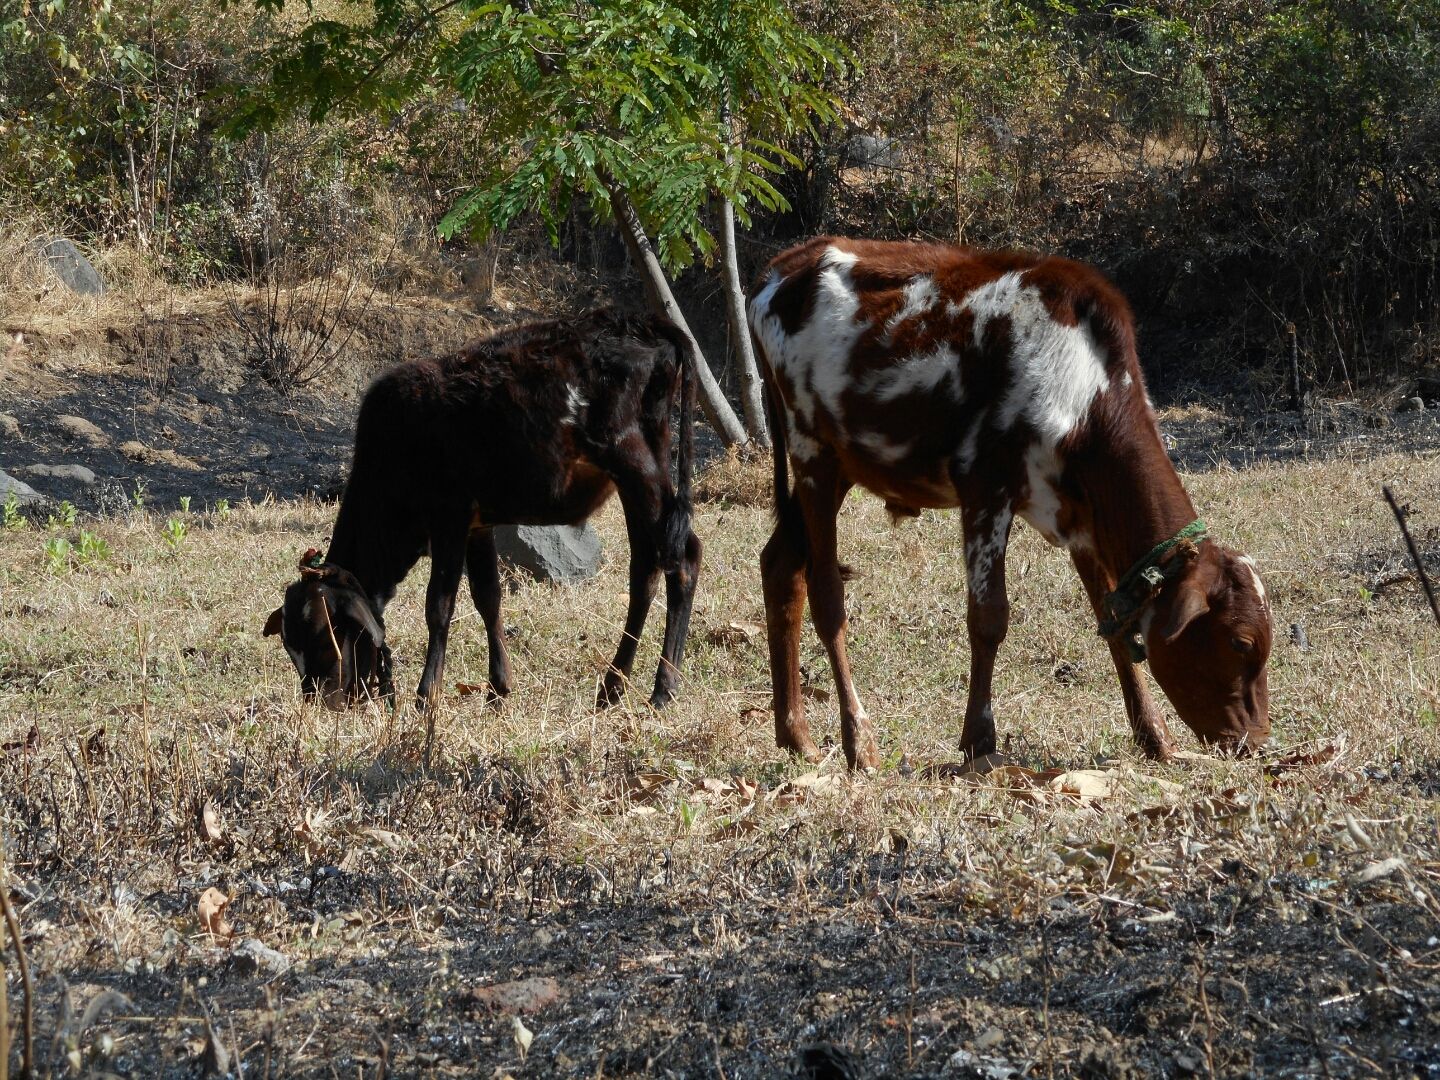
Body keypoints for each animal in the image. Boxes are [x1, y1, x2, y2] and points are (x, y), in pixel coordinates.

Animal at [263, 308, 701, 723]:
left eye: (323, 637)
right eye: (289, 646)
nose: (321, 702)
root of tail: (641, 322)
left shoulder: (449, 519)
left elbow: (438, 606)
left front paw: (427, 696)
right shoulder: (477, 525)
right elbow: (488, 599)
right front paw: (497, 691)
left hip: (634, 463)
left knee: (683, 558)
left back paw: (662, 689)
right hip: (634, 475)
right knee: (645, 569)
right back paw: (612, 688)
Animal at [748, 237, 1272, 770]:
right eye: (1239, 642)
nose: (1255, 742)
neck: (1085, 395)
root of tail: (789, 262)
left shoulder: (1079, 513)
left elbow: (1113, 619)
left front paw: (1154, 735)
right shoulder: (986, 490)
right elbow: (988, 619)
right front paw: (979, 741)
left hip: (840, 465)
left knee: (781, 565)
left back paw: (795, 734)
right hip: (811, 451)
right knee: (825, 594)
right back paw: (858, 739)